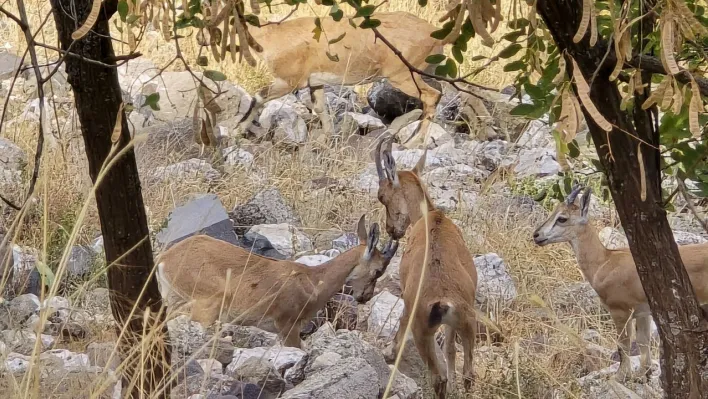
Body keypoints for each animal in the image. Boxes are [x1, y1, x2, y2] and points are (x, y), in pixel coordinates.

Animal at [156, 214, 398, 348]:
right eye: (378, 270)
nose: (365, 296)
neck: (312, 281)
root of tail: (165, 259)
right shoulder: (288, 325)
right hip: (206, 305)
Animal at [374, 137, 478, 396]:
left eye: (382, 196)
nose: (392, 230)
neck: (431, 216)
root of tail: (443, 301)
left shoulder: (407, 297)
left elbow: (401, 318)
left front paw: (389, 351)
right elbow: (450, 350)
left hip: (422, 330)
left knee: (437, 378)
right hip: (467, 323)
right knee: (469, 373)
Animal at [532, 186, 708, 382]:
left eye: (562, 218)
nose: (537, 235)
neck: (605, 262)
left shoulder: (620, 311)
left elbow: (623, 344)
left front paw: (619, 377)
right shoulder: (643, 313)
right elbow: (643, 341)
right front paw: (642, 374)